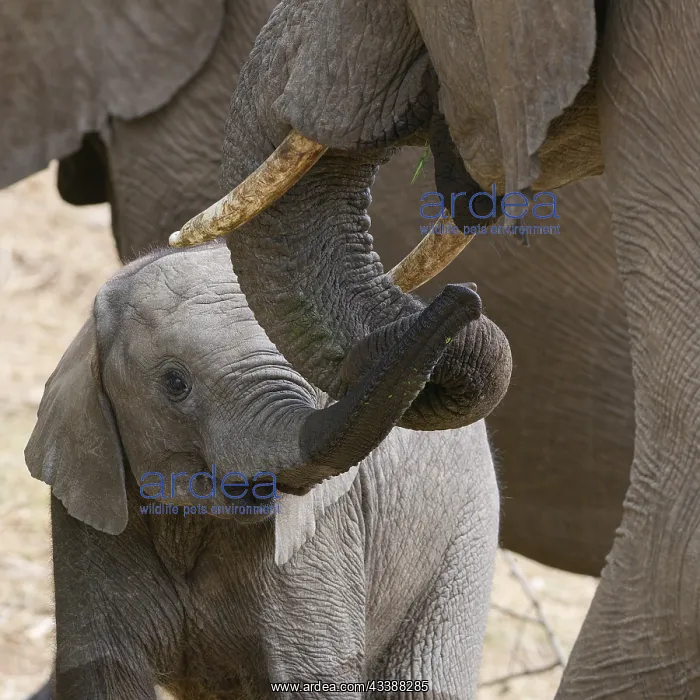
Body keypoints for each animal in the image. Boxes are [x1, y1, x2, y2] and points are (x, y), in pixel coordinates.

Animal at [25, 242, 505, 699]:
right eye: (175, 383)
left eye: (314, 383)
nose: (465, 294)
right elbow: (106, 679)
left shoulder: (322, 539)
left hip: (464, 533)